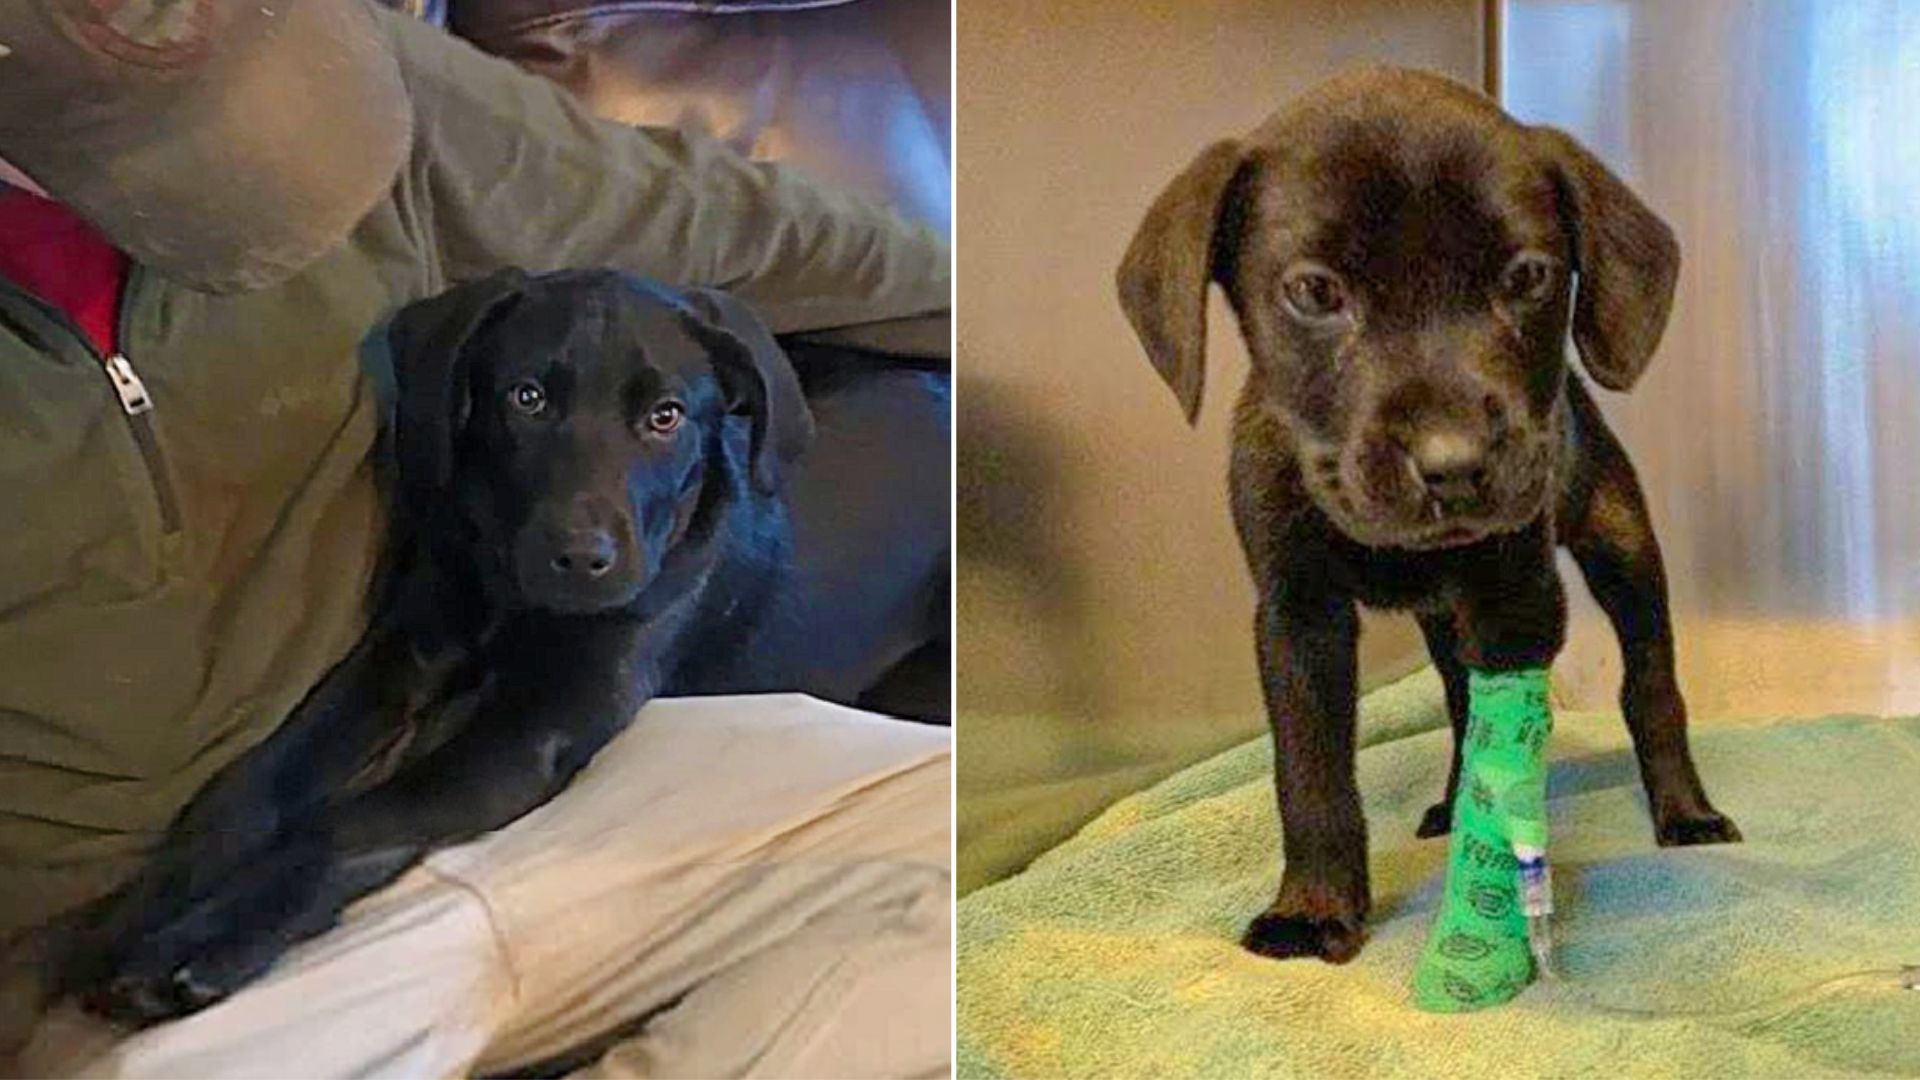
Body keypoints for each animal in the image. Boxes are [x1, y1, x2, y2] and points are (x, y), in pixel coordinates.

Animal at [56, 267, 956, 1014]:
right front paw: (157, 896)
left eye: (665, 417)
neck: (510, 596)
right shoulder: (406, 649)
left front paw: (206, 938)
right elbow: (262, 777)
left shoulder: (536, 731)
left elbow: (353, 821)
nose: (581, 559)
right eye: (526, 398)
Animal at [1113, 65, 1743, 957]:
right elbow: (1308, 770)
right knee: (1455, 699)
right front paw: (1313, 907)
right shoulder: (1296, 615)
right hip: (1447, 623)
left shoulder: (1518, 602)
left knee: (1650, 685)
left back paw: (1685, 810)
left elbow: (1507, 759)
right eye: (1315, 292)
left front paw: (1497, 904)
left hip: (1621, 547)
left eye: (1528, 277)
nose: (1455, 467)